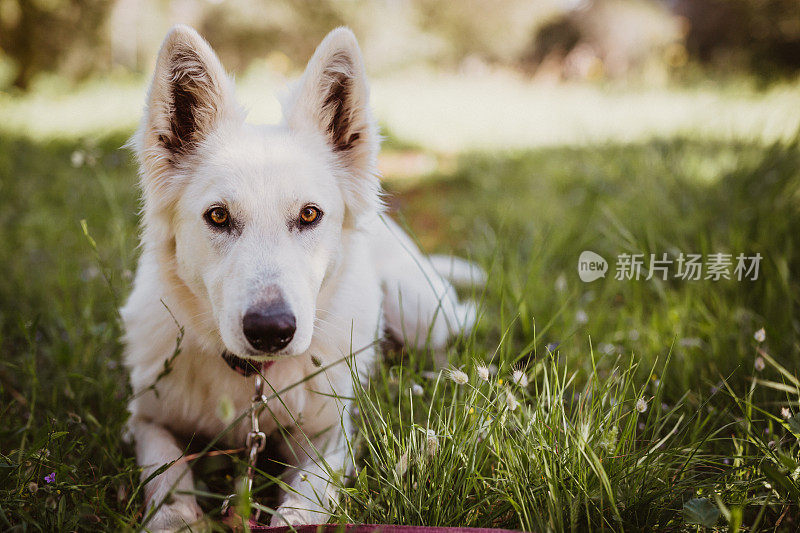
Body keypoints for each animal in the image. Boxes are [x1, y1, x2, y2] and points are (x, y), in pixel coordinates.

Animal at [122, 27, 478, 528]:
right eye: (218, 216)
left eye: (309, 215)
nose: (271, 331)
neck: (251, 381)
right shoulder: (145, 418)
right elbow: (167, 475)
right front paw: (179, 518)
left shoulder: (330, 437)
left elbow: (303, 502)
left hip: (419, 311)